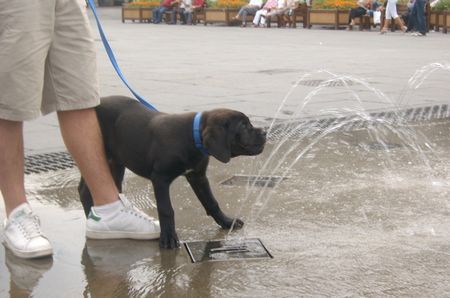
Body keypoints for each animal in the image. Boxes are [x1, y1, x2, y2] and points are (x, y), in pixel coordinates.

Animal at [78, 96, 266, 249]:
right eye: (244, 126)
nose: (264, 132)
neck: (192, 137)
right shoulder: (160, 179)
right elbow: (166, 209)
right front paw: (168, 237)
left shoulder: (198, 176)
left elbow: (211, 201)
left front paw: (227, 222)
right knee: (86, 189)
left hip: (117, 160)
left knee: (96, 188)